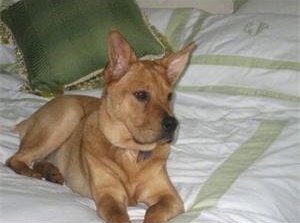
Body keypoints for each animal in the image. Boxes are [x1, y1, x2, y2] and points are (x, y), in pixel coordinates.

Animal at [7, 30, 196, 222]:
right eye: (141, 95)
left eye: (169, 96)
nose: (172, 124)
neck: (130, 152)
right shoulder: (108, 196)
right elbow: (119, 216)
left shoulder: (169, 197)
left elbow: (154, 211)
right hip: (69, 113)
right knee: (15, 158)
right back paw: (30, 172)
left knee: (37, 160)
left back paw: (51, 173)